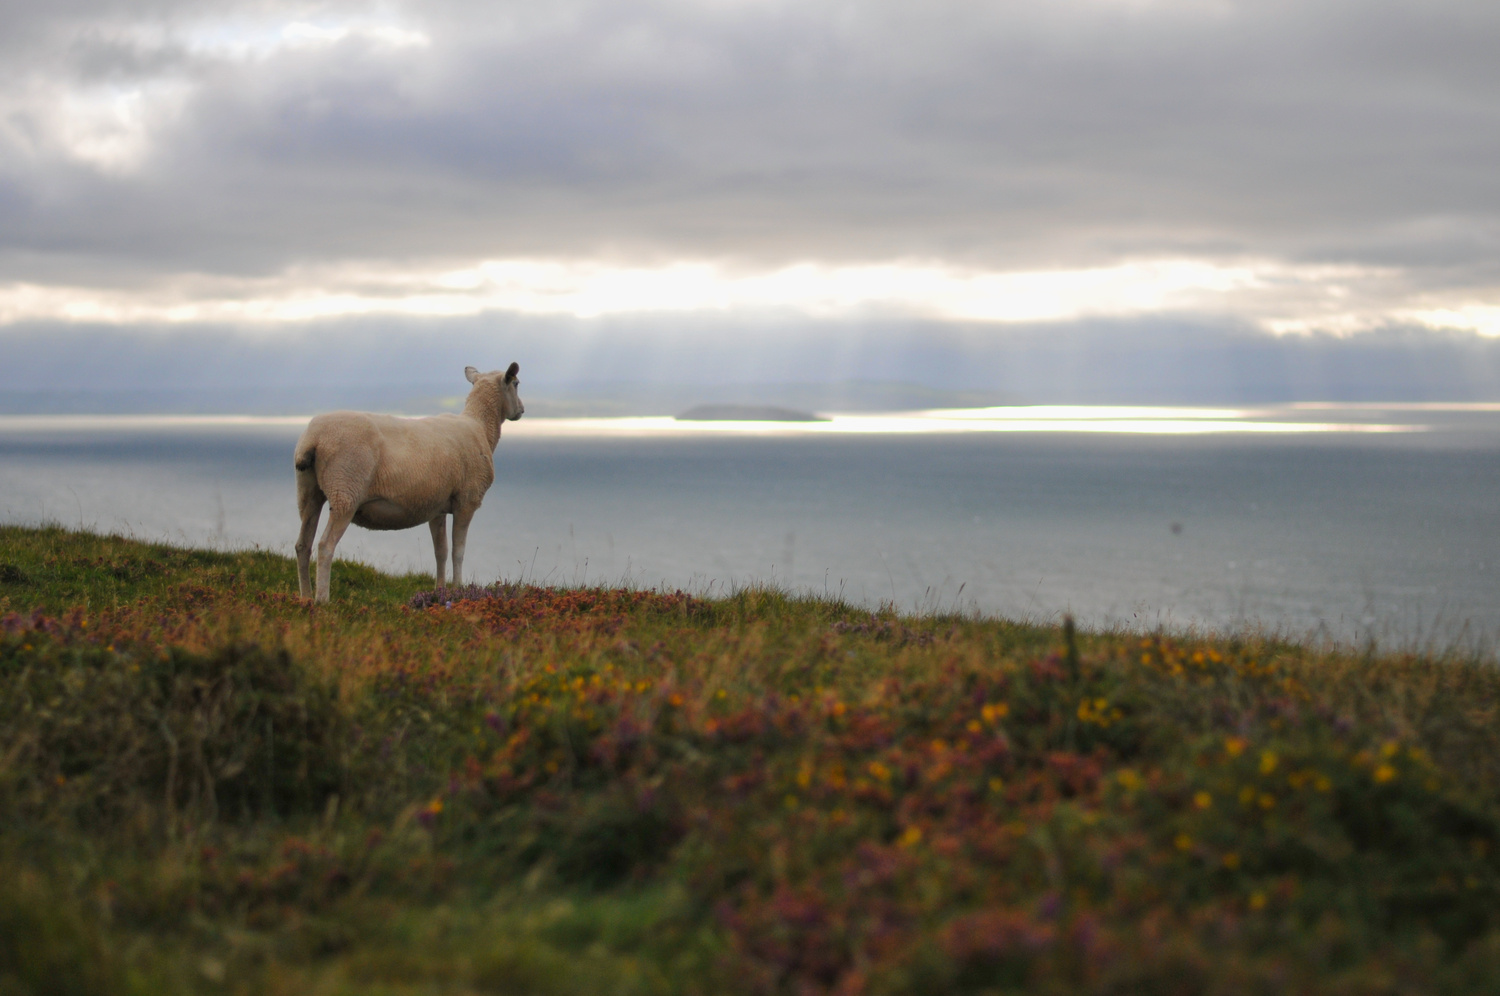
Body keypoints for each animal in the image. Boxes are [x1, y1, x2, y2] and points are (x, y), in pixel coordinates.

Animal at [293, 363, 524, 602]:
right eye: (516, 383)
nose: (521, 410)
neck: (481, 426)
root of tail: (313, 439)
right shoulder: (466, 501)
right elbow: (458, 551)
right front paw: (459, 590)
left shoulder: (437, 506)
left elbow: (440, 551)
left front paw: (439, 591)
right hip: (345, 491)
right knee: (325, 546)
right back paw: (322, 600)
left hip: (309, 490)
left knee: (303, 545)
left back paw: (306, 598)